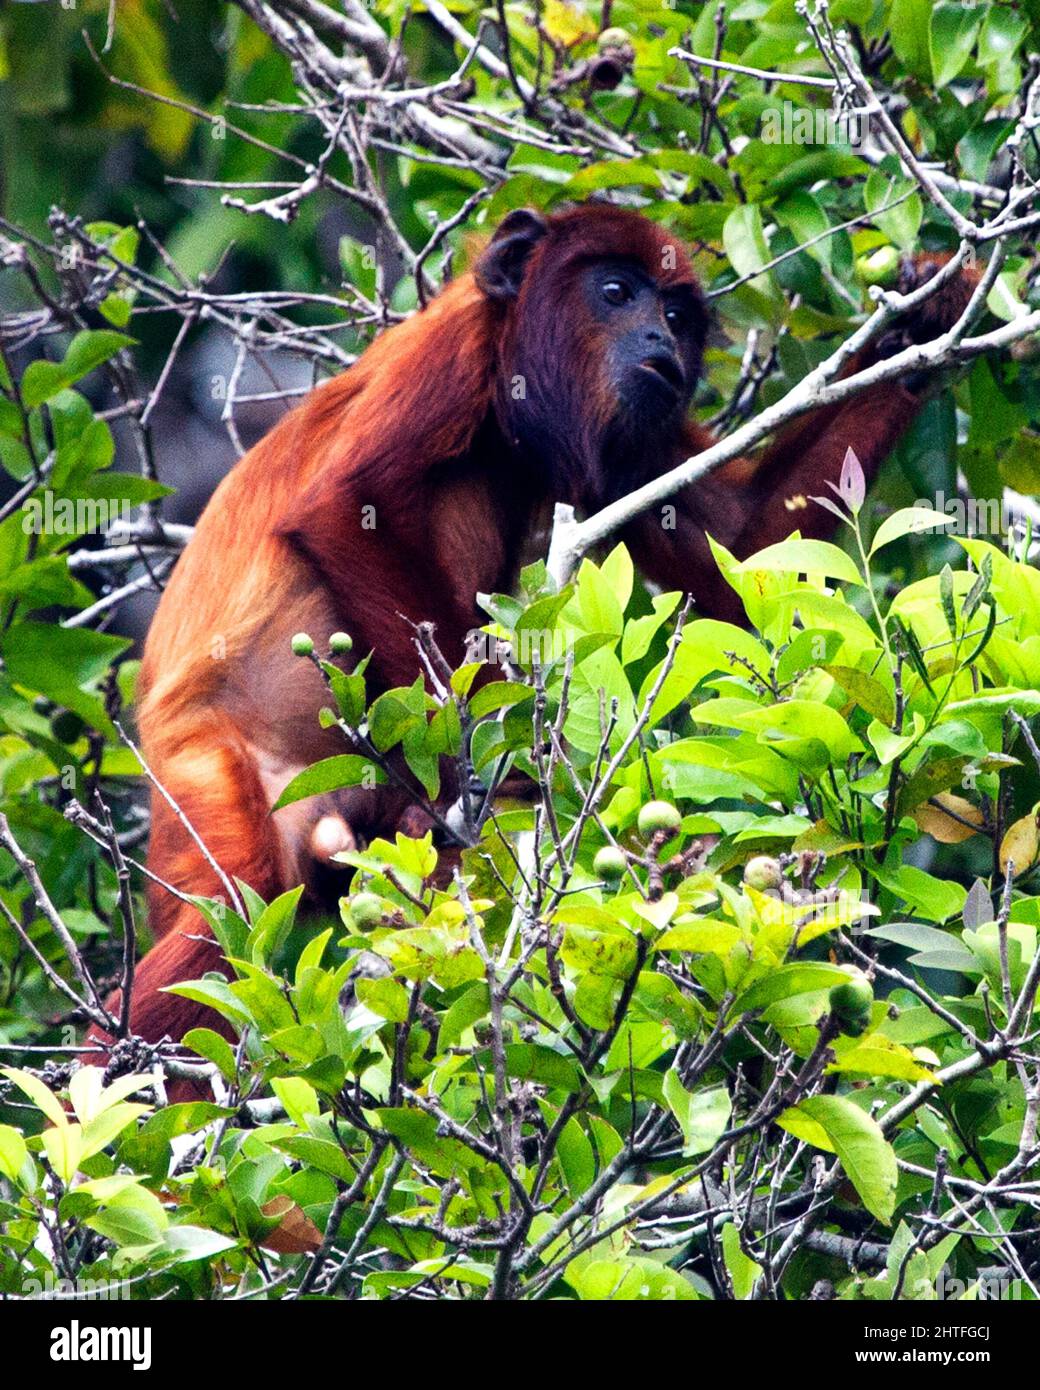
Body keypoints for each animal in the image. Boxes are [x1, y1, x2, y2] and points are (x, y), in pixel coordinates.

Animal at [89, 201, 973, 1056]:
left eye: (676, 315)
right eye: (616, 292)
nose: (661, 342)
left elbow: (747, 550)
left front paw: (923, 318)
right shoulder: (455, 350)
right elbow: (349, 502)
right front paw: (486, 754)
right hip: (205, 771)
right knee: (226, 927)